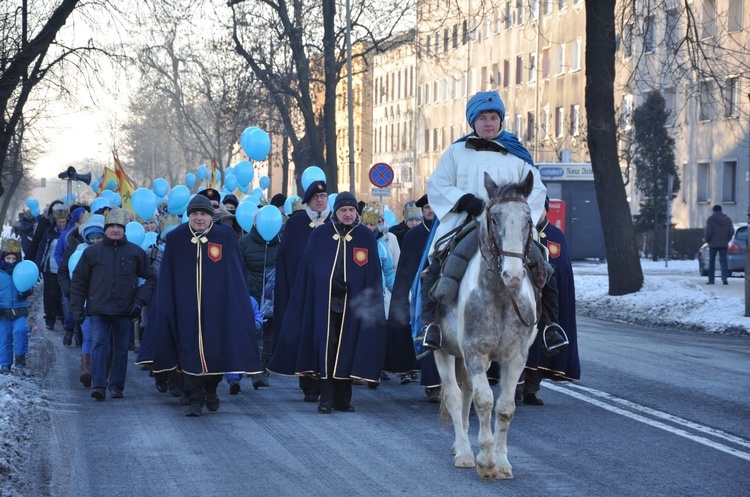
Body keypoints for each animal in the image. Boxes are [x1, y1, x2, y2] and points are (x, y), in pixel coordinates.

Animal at [434, 171, 540, 480]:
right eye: (494, 219)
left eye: (528, 220)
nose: (513, 275)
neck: (501, 297)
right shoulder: (475, 353)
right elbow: (484, 401)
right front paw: (485, 459)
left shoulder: (515, 358)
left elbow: (505, 407)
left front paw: (502, 461)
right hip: (443, 350)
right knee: (456, 397)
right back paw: (464, 451)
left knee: (466, 393)